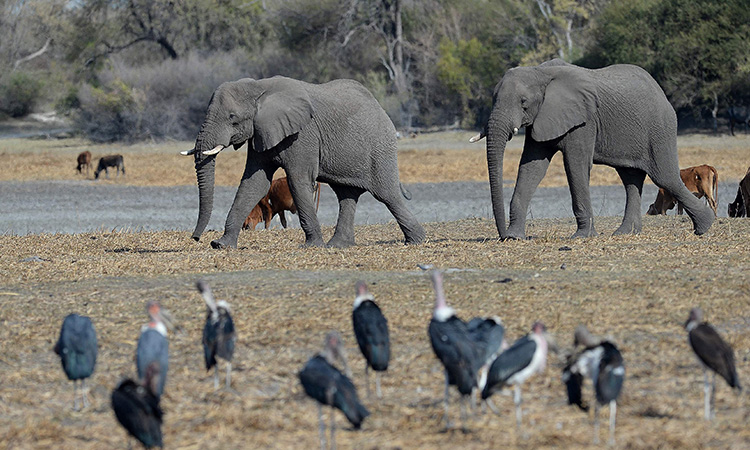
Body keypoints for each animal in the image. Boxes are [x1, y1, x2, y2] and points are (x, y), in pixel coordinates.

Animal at [182, 75, 426, 248]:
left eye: (232, 118)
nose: (196, 238)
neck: (259, 87)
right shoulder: (261, 132)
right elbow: (254, 182)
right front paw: (221, 245)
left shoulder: (303, 135)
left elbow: (298, 180)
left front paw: (311, 246)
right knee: (346, 195)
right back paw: (338, 246)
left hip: (380, 149)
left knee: (387, 195)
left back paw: (416, 240)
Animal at [476, 59, 716, 239]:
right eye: (493, 98)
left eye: (523, 102)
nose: (501, 234)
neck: (540, 72)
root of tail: (662, 94)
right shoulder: (543, 117)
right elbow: (531, 167)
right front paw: (515, 237)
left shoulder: (584, 120)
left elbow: (575, 165)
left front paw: (582, 237)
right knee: (631, 179)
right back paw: (625, 233)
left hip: (660, 129)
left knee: (665, 177)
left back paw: (704, 227)